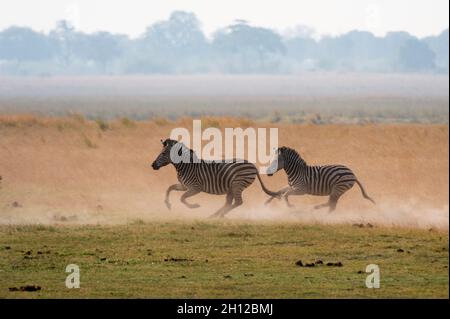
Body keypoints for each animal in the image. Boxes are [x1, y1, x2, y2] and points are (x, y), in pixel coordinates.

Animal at [151, 139, 280, 219]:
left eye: (163, 153)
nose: (153, 165)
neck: (186, 166)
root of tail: (252, 165)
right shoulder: (184, 186)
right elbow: (170, 188)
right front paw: (167, 204)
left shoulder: (195, 188)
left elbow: (182, 198)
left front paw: (194, 206)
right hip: (232, 187)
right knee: (228, 202)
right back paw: (215, 215)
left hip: (237, 184)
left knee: (237, 202)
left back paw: (218, 215)